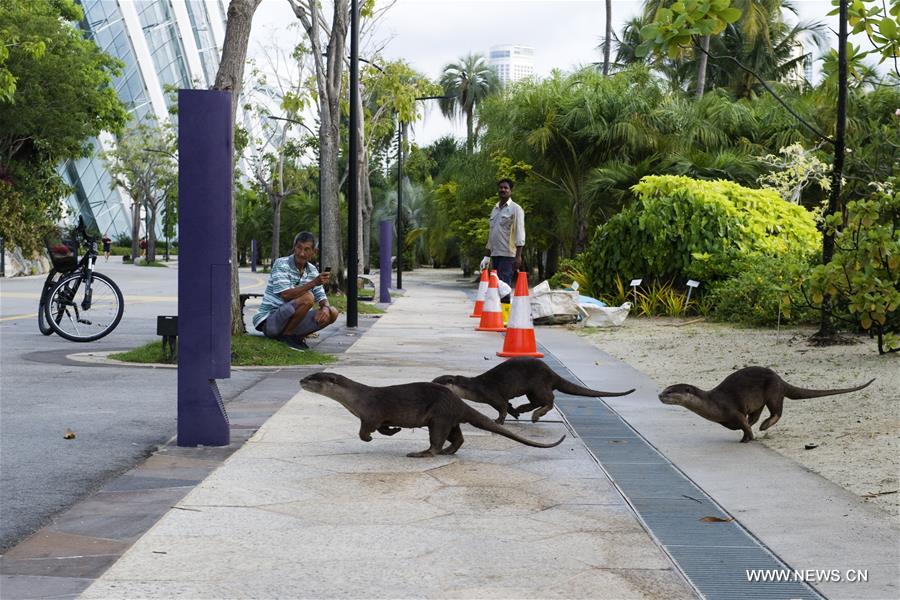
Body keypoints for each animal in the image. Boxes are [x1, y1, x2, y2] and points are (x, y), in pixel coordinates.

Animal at [300, 370, 564, 460]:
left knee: (437, 441)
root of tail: (458, 401)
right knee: (458, 438)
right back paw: (448, 451)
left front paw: (369, 438)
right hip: (448, 418)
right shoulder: (380, 418)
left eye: (314, 378)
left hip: (439, 417)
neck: (358, 399)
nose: (301, 380)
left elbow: (364, 431)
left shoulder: (371, 414)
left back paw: (422, 453)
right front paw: (394, 430)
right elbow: (385, 428)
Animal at [434, 358, 632, 424]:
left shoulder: (493, 395)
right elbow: (508, 405)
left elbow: (502, 407)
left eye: (438, 383)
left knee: (550, 400)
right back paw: (524, 409)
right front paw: (514, 413)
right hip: (533, 389)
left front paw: (498, 420)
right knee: (540, 401)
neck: (475, 387)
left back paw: (536, 415)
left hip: (539, 385)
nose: (430, 384)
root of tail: (551, 373)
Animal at [656, 364, 876, 442]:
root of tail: (780, 379)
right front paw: (745, 433)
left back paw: (764, 426)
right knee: (759, 413)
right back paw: (760, 423)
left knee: (777, 411)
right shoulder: (726, 417)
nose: (659, 395)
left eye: (670, 391)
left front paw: (748, 438)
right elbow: (741, 424)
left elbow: (743, 423)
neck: (713, 403)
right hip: (761, 398)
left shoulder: (732, 410)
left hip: (773, 391)